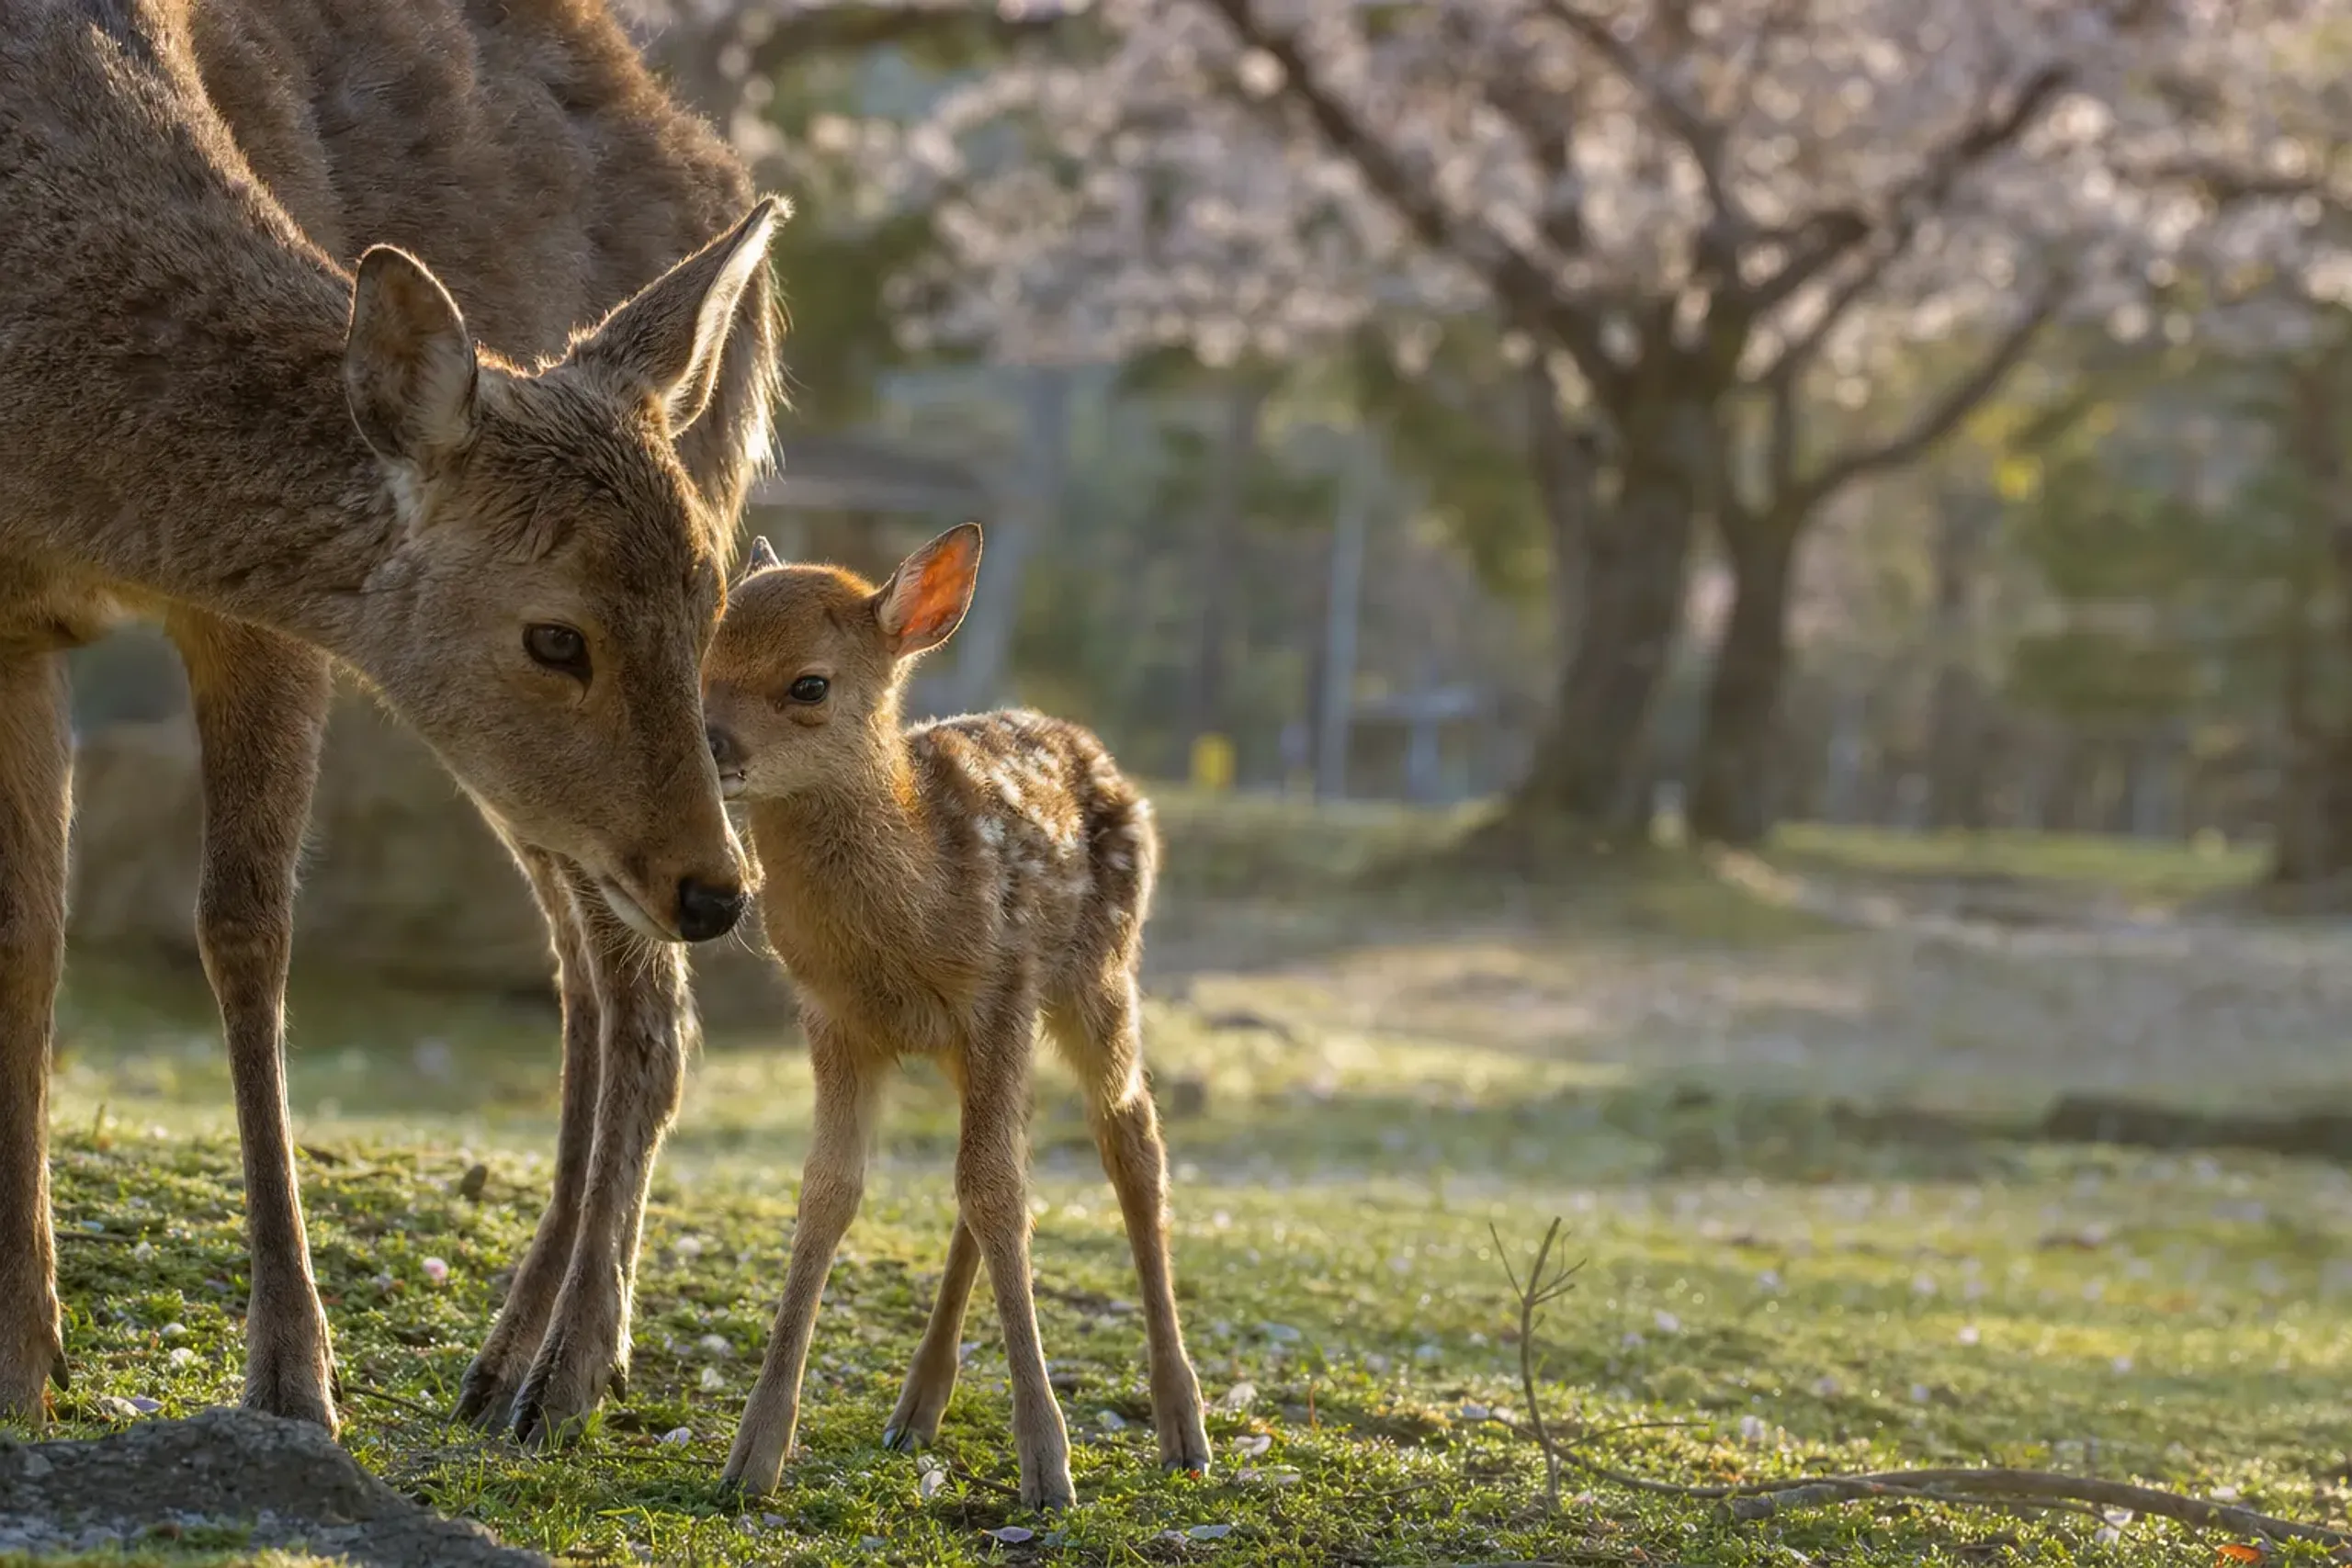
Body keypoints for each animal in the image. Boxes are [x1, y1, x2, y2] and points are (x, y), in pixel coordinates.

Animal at [0, 0, 785, 1449]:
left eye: (711, 599)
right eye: (555, 633)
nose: (723, 891)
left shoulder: (265, 612)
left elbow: (245, 932)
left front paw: (292, 1380)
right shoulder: (11, 618)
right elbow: (30, 939)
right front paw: (24, 1356)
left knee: (637, 989)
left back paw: (564, 1369)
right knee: (589, 965)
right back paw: (514, 1355)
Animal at [699, 525, 1214, 1510]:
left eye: (809, 684)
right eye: (698, 656)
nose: (701, 747)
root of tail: (1087, 740)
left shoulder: (1000, 991)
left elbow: (996, 1192)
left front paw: (1048, 1464)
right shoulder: (833, 1019)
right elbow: (831, 1193)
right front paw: (753, 1453)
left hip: (1098, 972)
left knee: (1129, 1136)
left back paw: (1183, 1424)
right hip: (974, 1044)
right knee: (1002, 1167)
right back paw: (916, 1408)